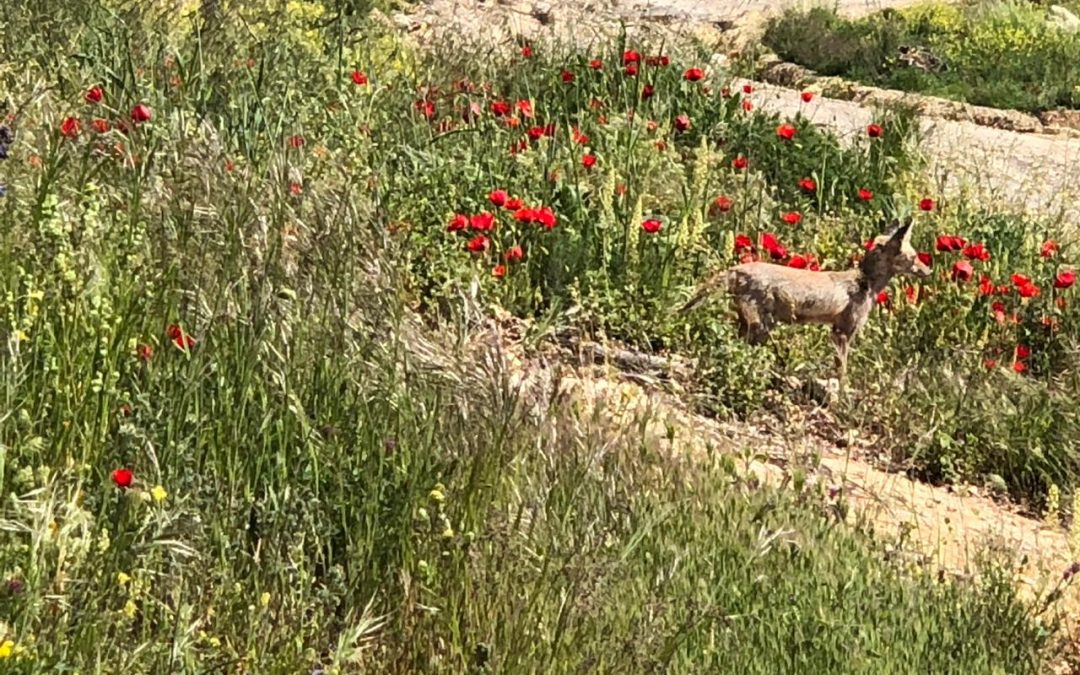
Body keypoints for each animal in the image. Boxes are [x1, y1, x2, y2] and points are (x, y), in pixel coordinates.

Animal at [678, 217, 933, 382]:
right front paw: (842, 394)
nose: (929, 271)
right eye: (914, 258)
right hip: (761, 327)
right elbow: (842, 371)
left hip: (752, 325)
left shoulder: (837, 331)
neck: (864, 281)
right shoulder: (843, 332)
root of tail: (737, 269)